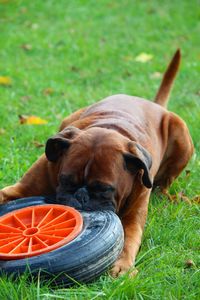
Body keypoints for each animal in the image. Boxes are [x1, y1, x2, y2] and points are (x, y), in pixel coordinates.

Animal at [0, 49, 194, 276]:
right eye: (66, 181)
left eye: (104, 189)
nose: (81, 196)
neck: (110, 126)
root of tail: (153, 103)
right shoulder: (20, 190)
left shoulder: (132, 219)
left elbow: (128, 240)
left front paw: (122, 265)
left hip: (182, 137)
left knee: (164, 184)